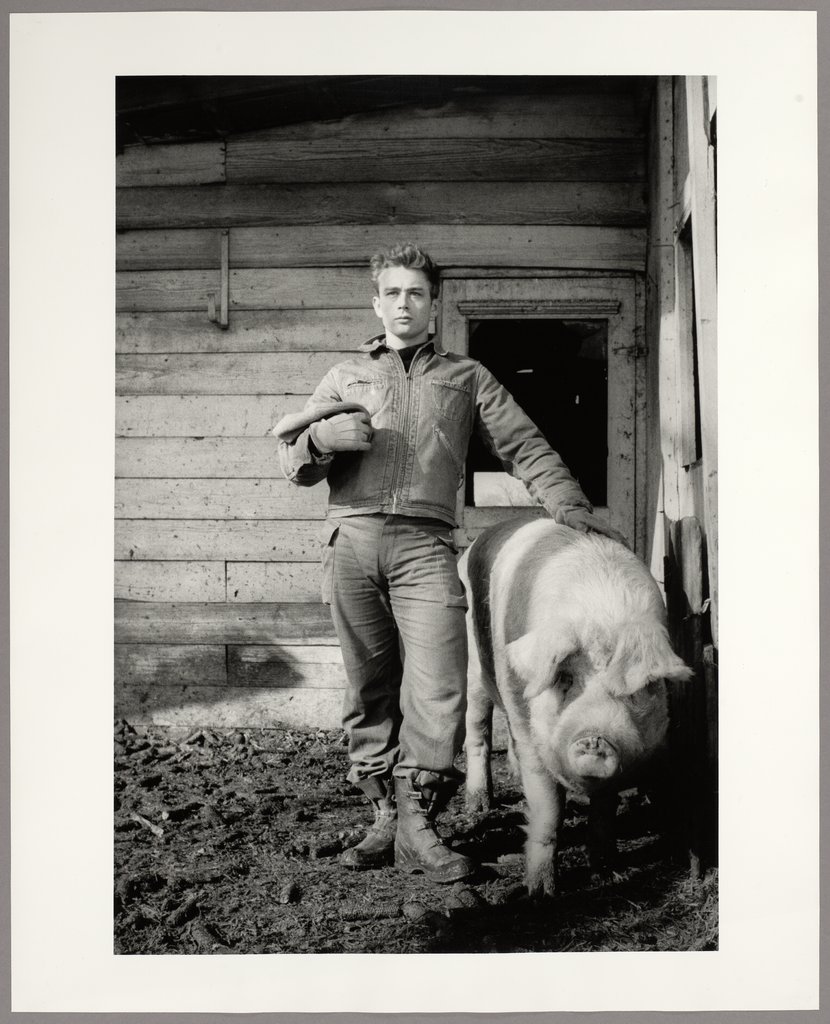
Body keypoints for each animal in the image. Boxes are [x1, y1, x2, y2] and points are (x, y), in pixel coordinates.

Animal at [460, 516, 695, 892]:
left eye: (638, 690)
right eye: (564, 679)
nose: (594, 737)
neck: (599, 612)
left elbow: (605, 807)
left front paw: (606, 872)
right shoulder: (531, 733)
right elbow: (548, 809)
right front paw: (540, 891)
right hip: (473, 666)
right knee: (478, 729)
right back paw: (479, 806)